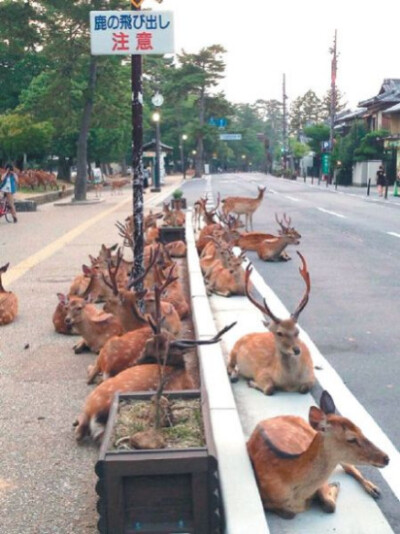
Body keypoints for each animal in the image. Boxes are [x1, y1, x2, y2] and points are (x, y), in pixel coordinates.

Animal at [73, 322, 236, 444]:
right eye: (146, 344)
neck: (180, 369)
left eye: (158, 353)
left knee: (80, 432)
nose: (134, 363)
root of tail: (96, 412)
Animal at [228, 253, 316, 396]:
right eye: (279, 333)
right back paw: (234, 375)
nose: (297, 350)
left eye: (297, 331)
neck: (289, 382)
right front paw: (252, 382)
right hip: (234, 350)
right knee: (229, 365)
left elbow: (304, 388)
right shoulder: (261, 372)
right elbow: (269, 388)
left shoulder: (311, 376)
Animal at [248, 392, 390, 520]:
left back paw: (373, 489)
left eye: (361, 430)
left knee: (348, 467)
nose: (386, 458)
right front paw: (334, 485)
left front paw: (335, 485)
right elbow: (290, 514)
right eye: (351, 439)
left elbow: (330, 505)